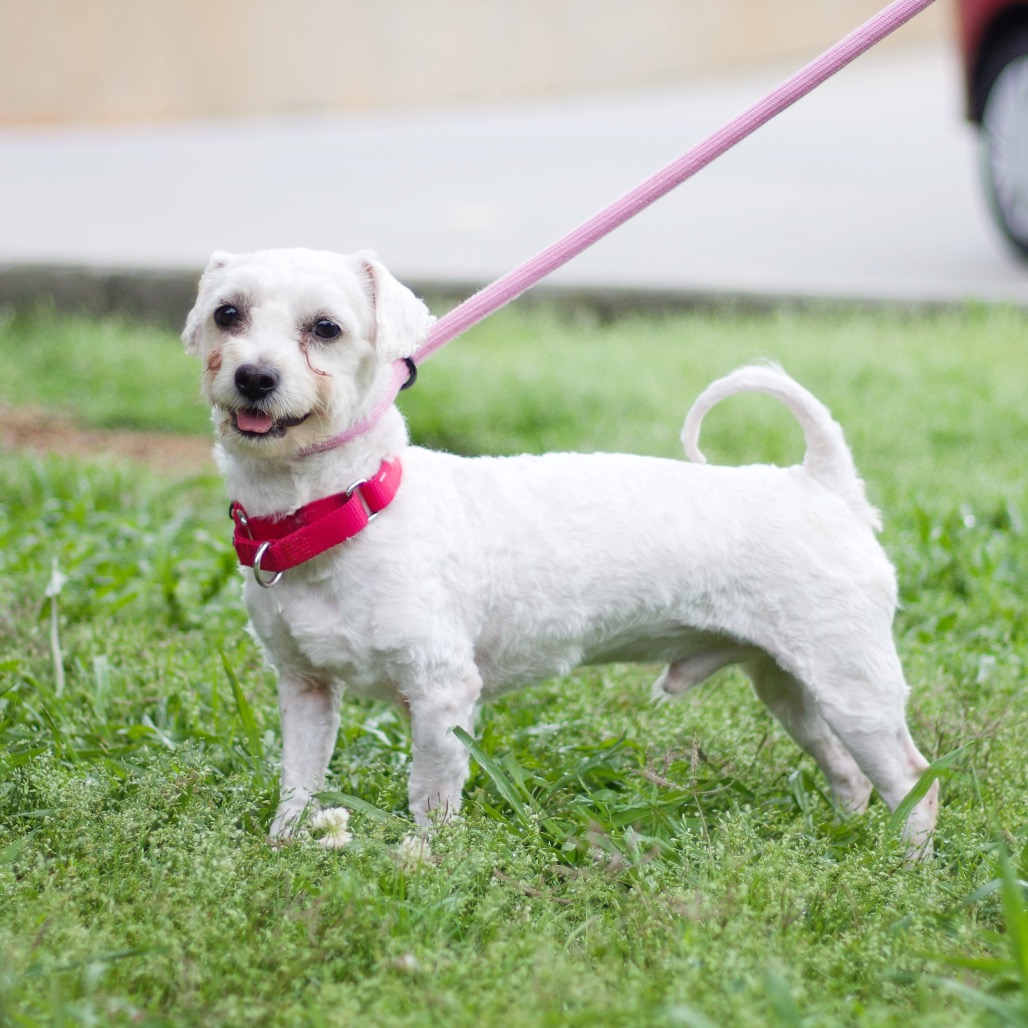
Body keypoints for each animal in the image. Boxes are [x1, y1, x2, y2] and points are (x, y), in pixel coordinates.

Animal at [182, 247, 938, 855]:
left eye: (326, 328)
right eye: (227, 314)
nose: (254, 376)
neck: (346, 507)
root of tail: (823, 483)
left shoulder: (442, 696)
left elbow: (430, 799)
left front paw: (423, 862)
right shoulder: (306, 690)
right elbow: (299, 784)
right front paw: (281, 848)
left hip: (853, 687)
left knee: (915, 781)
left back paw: (906, 870)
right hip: (792, 687)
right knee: (849, 773)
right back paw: (847, 835)